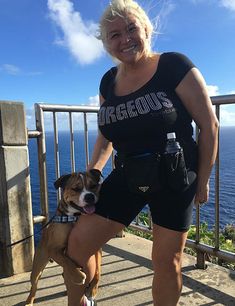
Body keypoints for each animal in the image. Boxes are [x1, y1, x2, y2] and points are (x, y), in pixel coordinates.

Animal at [25, 170, 103, 306]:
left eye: (93, 186)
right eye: (76, 189)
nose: (89, 196)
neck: (75, 217)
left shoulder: (97, 249)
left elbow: (98, 270)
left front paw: (93, 289)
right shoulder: (54, 249)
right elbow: (66, 260)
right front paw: (78, 276)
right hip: (37, 268)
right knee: (34, 286)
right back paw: (29, 301)